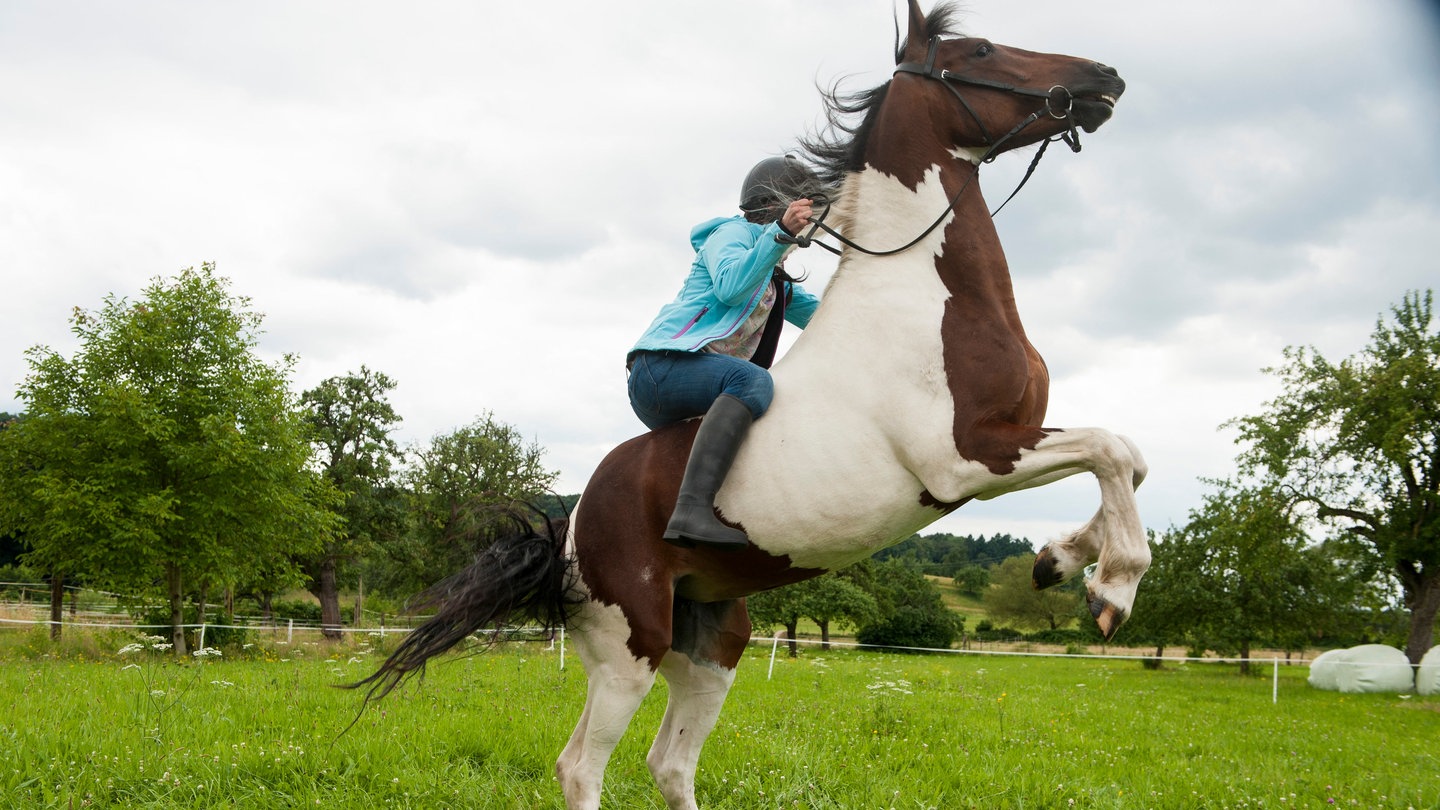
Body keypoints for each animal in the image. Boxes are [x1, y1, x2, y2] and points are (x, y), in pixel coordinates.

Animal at [357, 3, 1146, 801]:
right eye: (981, 49)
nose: (1105, 78)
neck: (923, 297)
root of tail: (569, 524)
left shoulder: (1007, 443)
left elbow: (1128, 459)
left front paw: (1059, 561)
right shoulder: (967, 460)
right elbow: (1110, 448)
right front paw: (1112, 592)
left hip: (713, 644)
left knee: (669, 763)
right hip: (629, 646)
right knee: (582, 767)